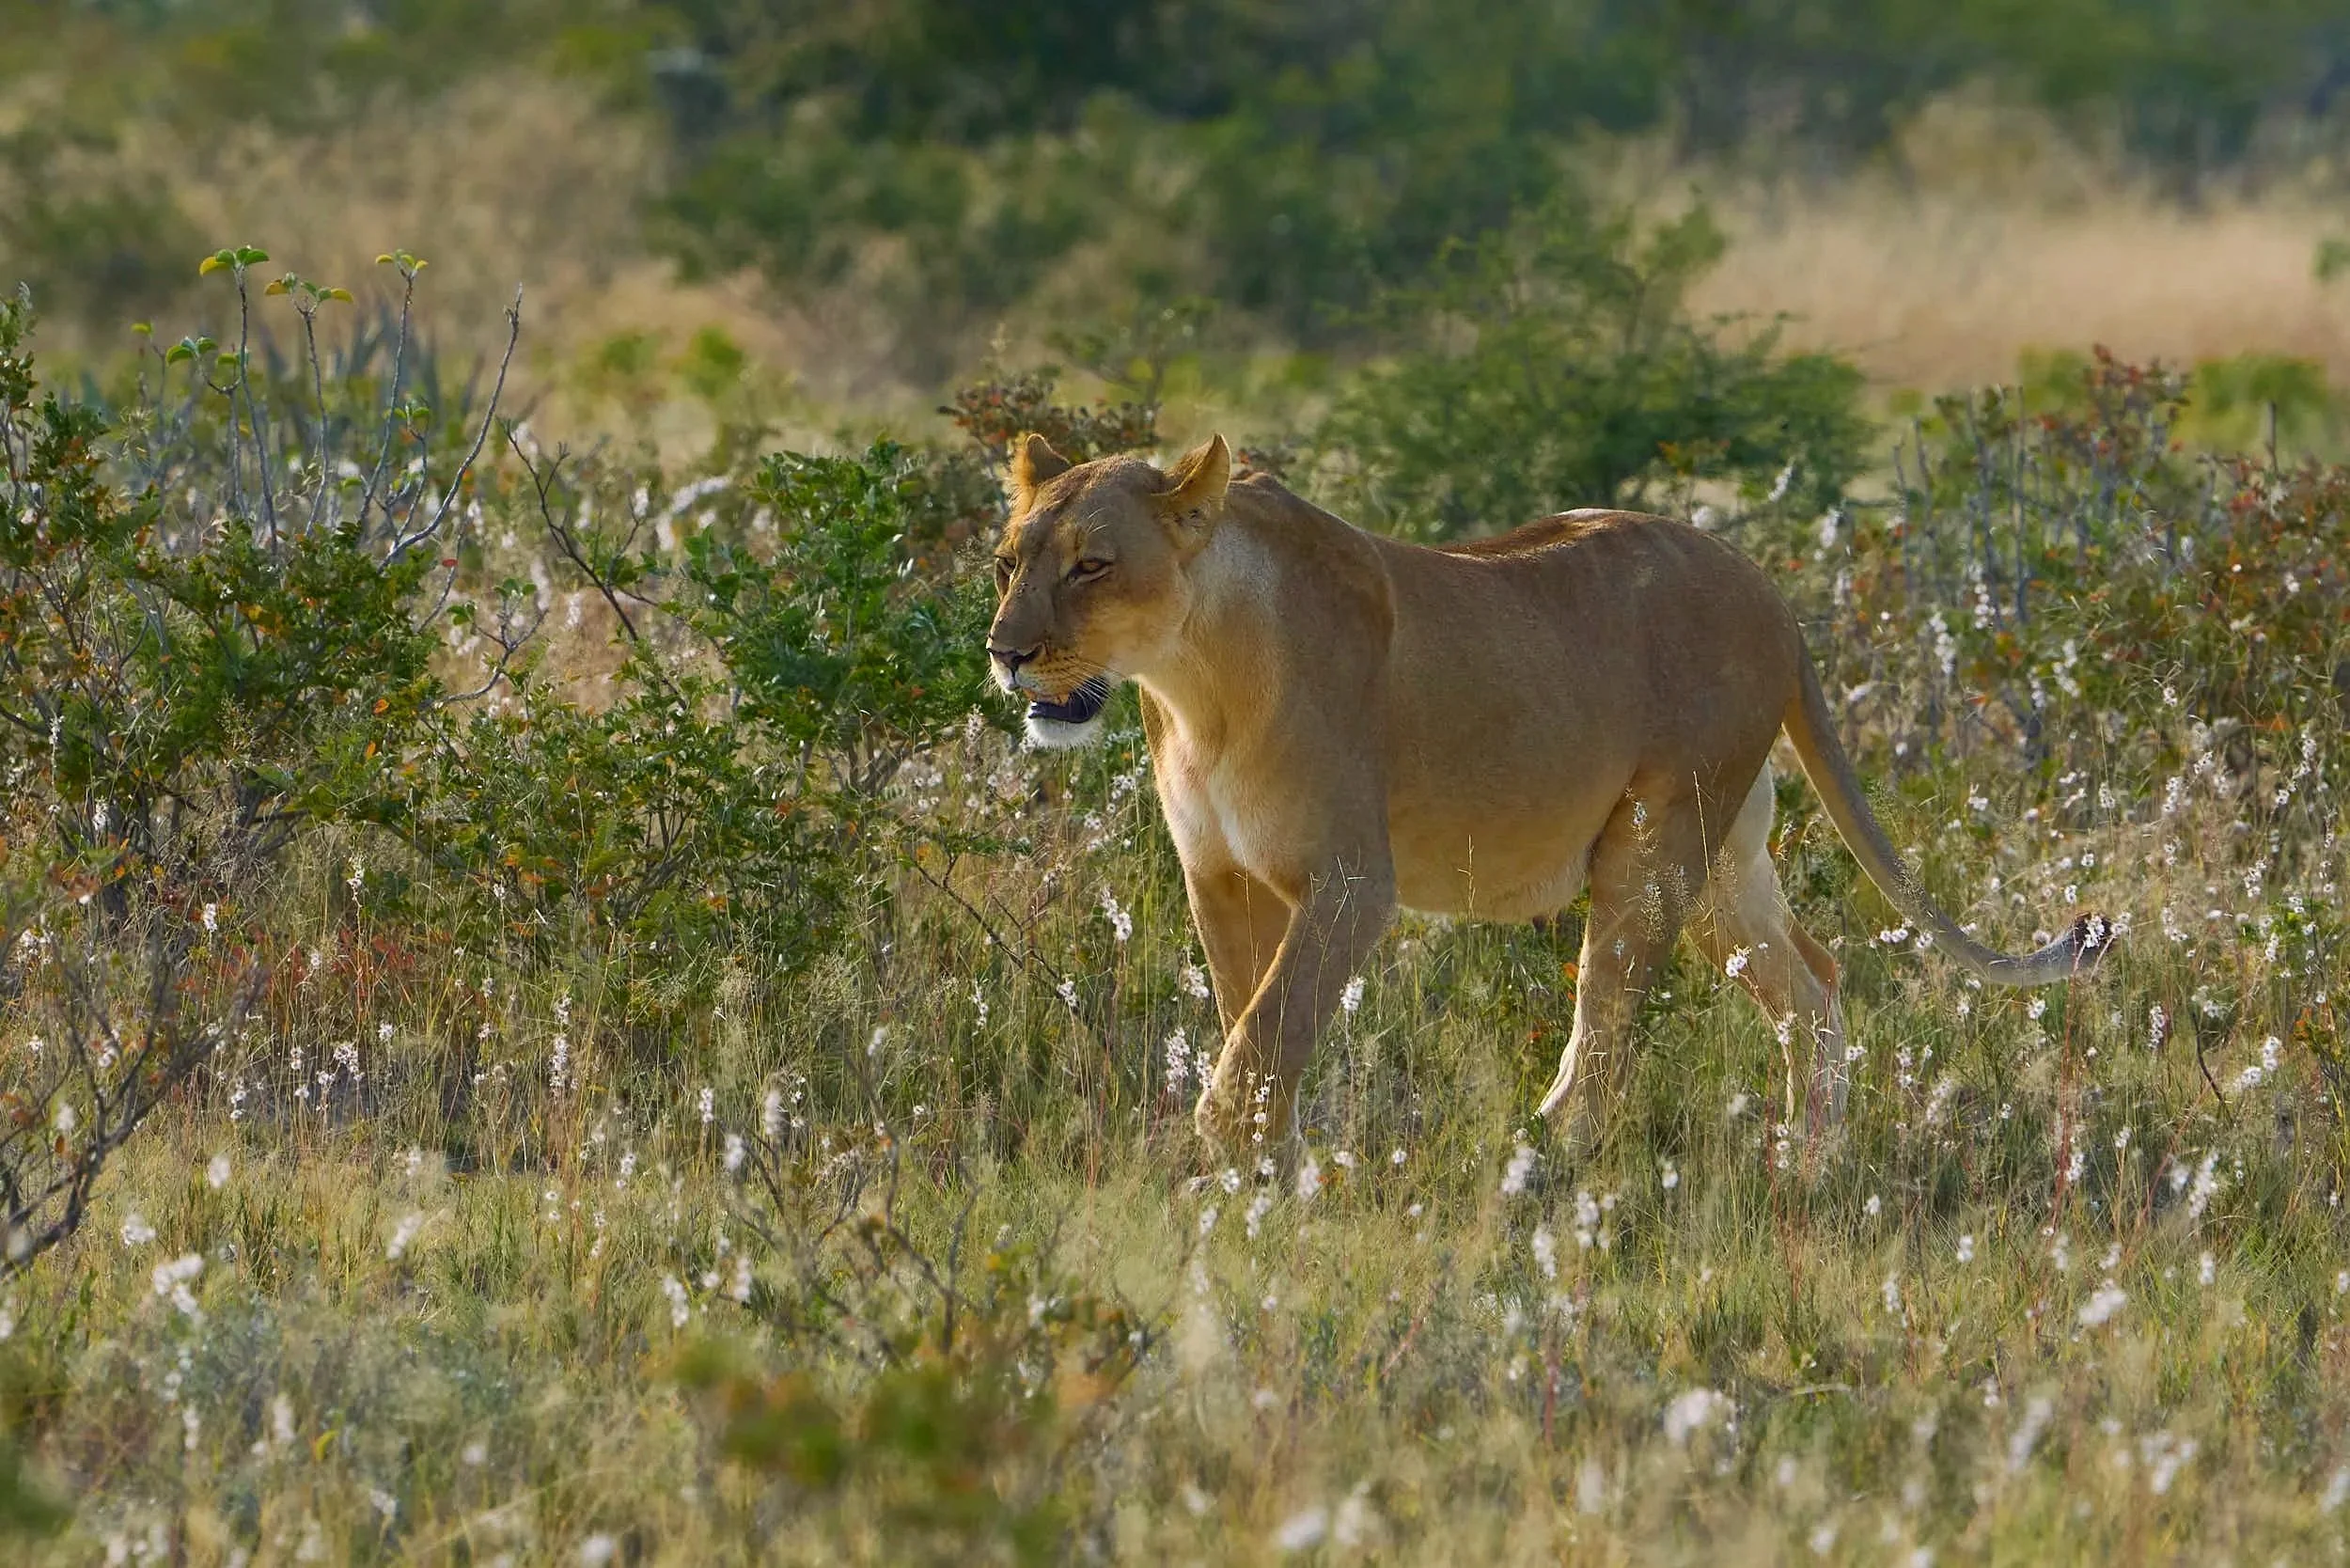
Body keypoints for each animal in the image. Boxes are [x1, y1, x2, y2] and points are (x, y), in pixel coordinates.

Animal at [985, 431, 2108, 1149]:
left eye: (1092, 565)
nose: (1004, 654)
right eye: (1005, 563)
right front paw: (1270, 1173)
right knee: (1814, 987)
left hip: (1653, 846)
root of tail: (1771, 593)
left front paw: (1227, 1183)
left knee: (1601, 1045)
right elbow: (1250, 1032)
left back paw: (1545, 1176)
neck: (1194, 685)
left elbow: (1260, 1042)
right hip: (1724, 860)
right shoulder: (1218, 879)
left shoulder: (1350, 882)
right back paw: (1808, 1169)